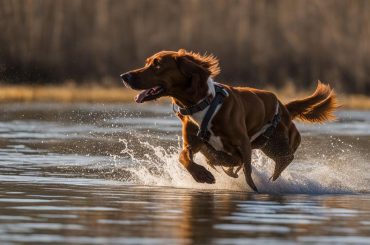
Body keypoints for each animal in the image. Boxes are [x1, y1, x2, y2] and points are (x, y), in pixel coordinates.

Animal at [122, 49, 338, 191]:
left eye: (157, 65)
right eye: (147, 62)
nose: (125, 76)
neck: (203, 104)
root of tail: (285, 107)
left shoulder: (243, 143)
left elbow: (247, 172)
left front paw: (251, 186)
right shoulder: (194, 144)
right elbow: (184, 157)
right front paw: (202, 175)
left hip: (277, 144)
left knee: (286, 158)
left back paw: (273, 175)